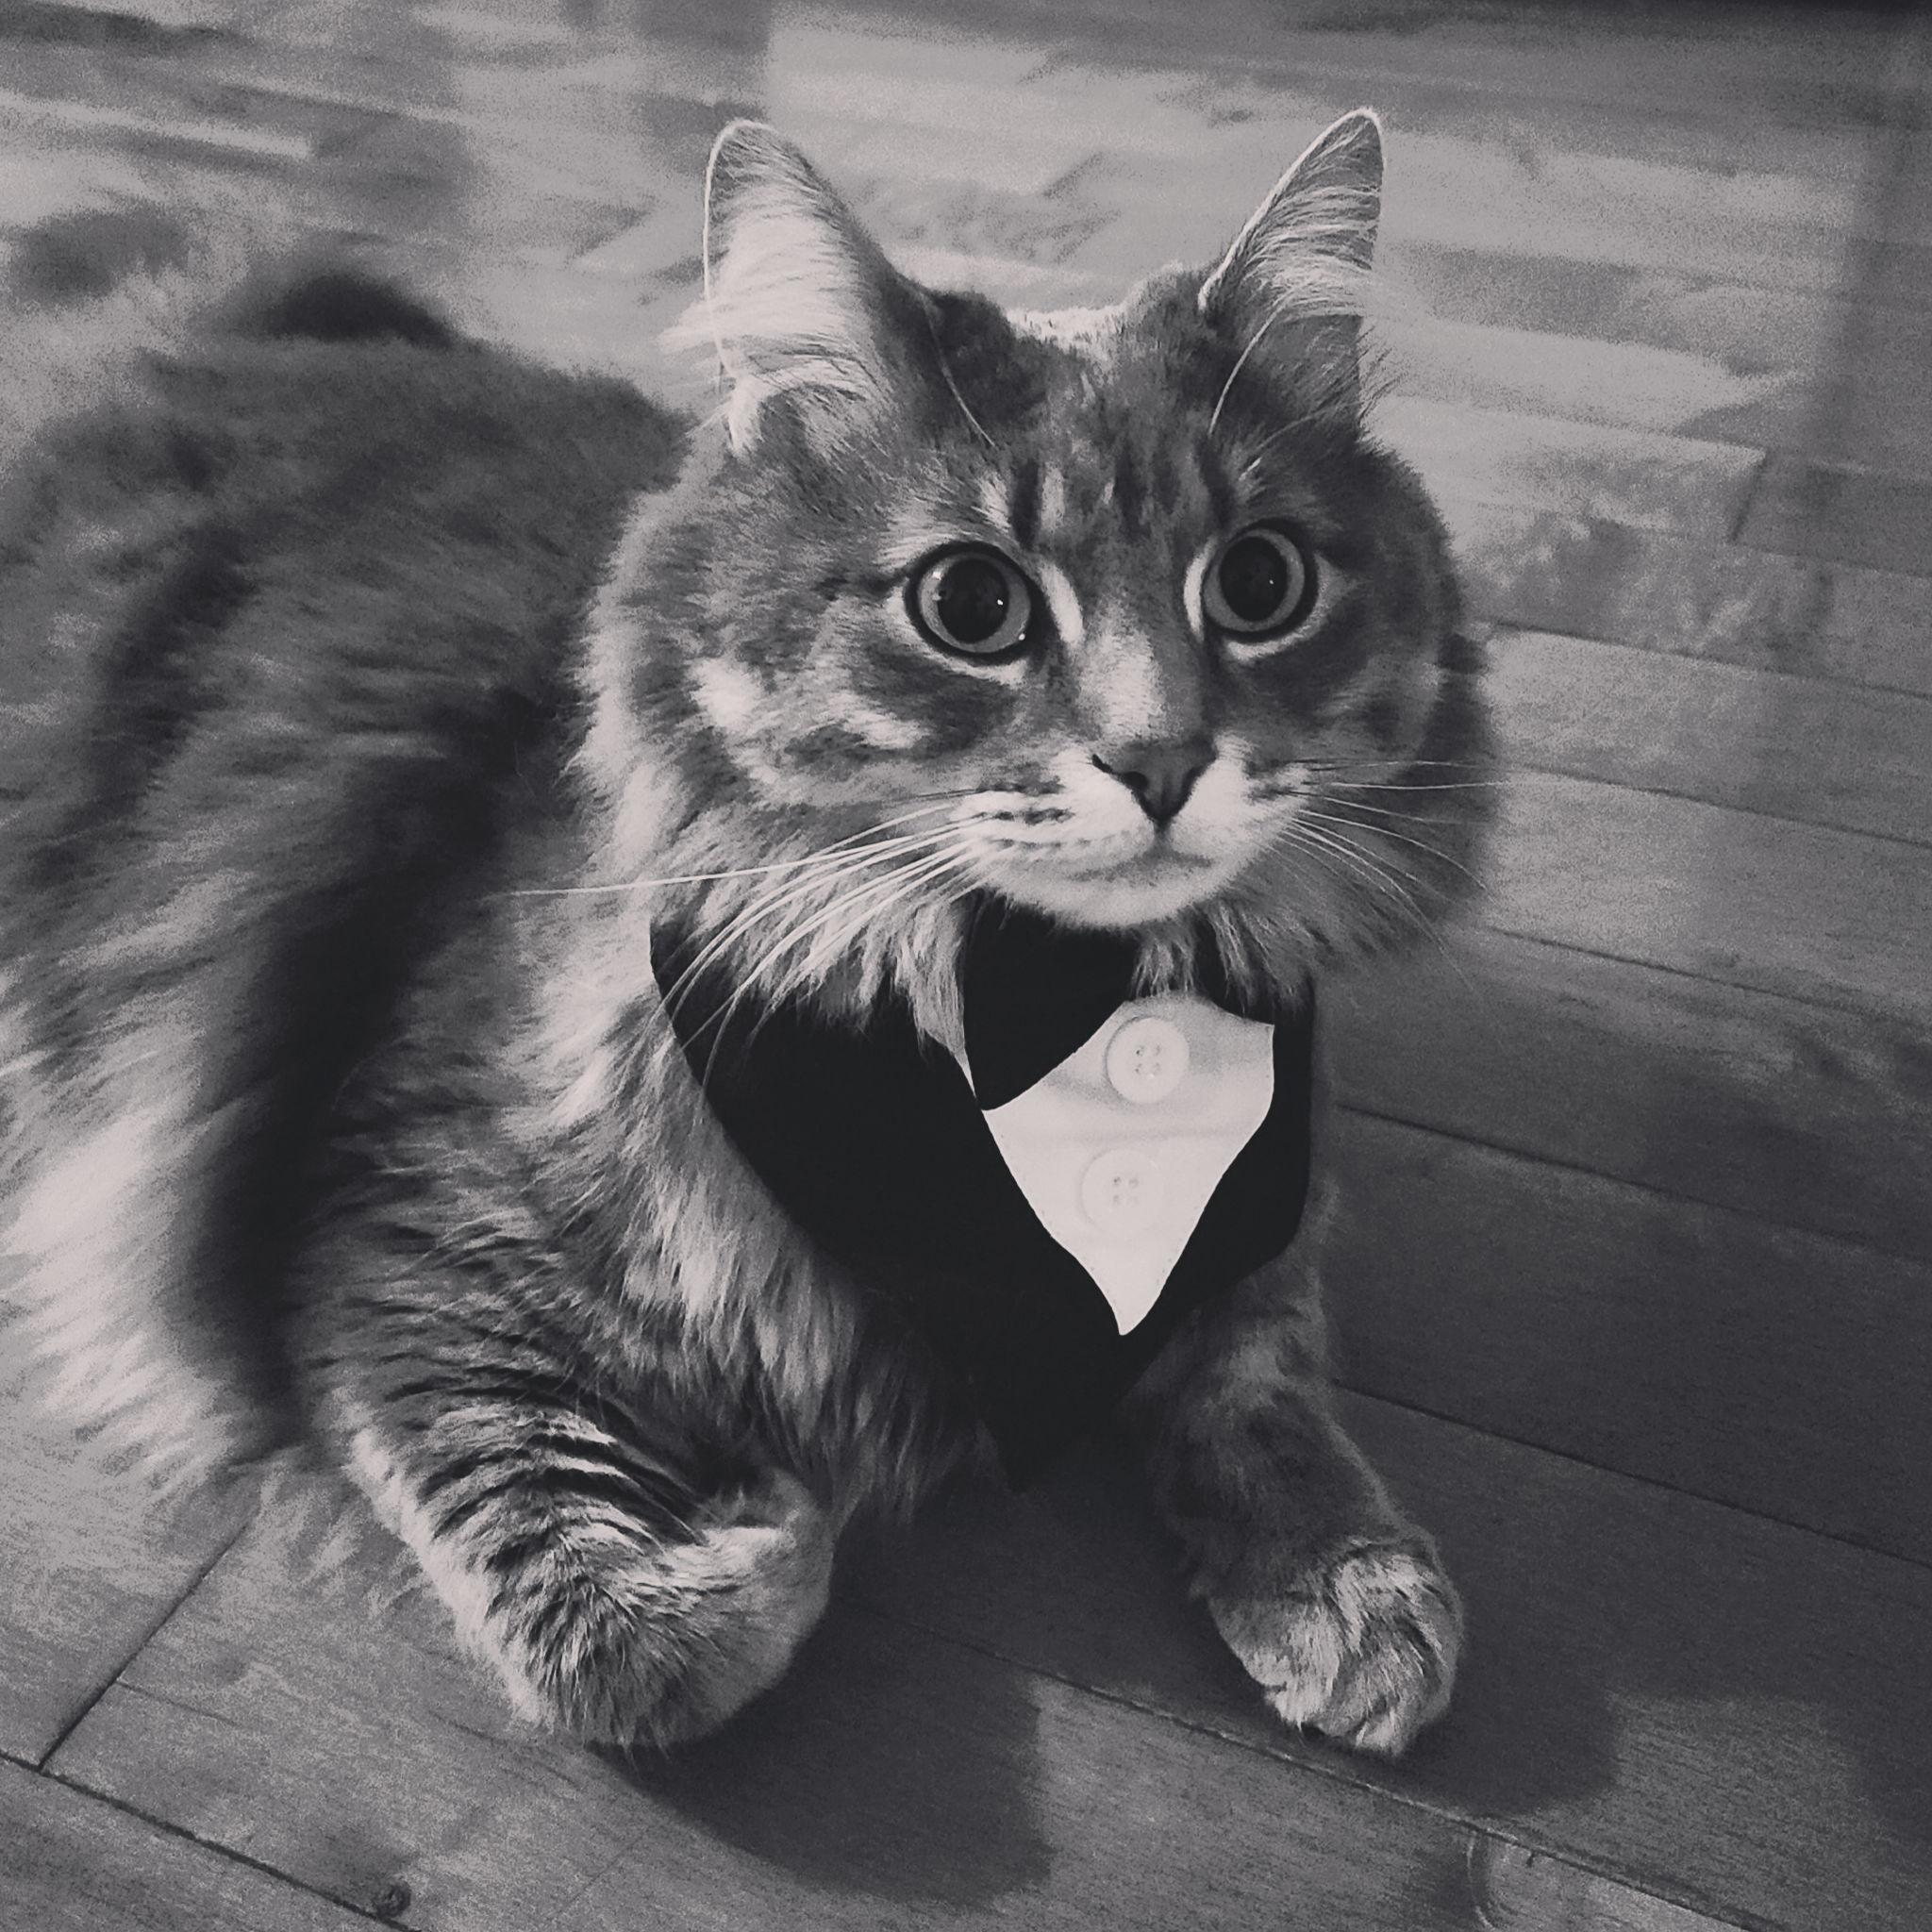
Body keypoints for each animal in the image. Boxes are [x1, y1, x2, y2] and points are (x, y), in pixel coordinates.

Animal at [0, 109, 1491, 1757]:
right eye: (972, 605)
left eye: (1261, 583)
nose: (1162, 763)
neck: (1048, 1004)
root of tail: (167, 333)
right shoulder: (390, 1242)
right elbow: (636, 1641)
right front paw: (766, 1510)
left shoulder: (1264, 1205)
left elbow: (1258, 1379)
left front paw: (1348, 1582)